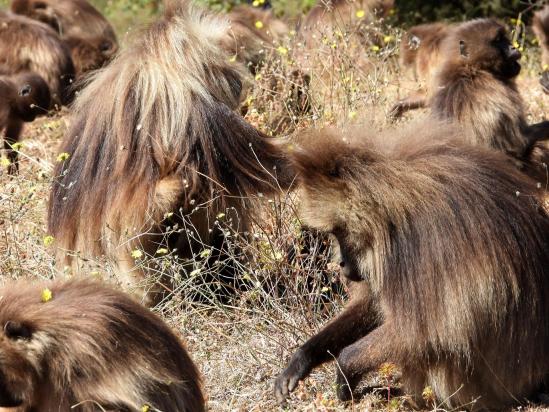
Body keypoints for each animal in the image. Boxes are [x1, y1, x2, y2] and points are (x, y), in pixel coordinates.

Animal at [274, 121, 549, 408]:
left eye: (339, 231)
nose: (340, 264)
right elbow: (372, 304)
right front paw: (301, 359)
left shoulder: (419, 247)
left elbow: (426, 333)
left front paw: (344, 369)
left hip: (476, 390)